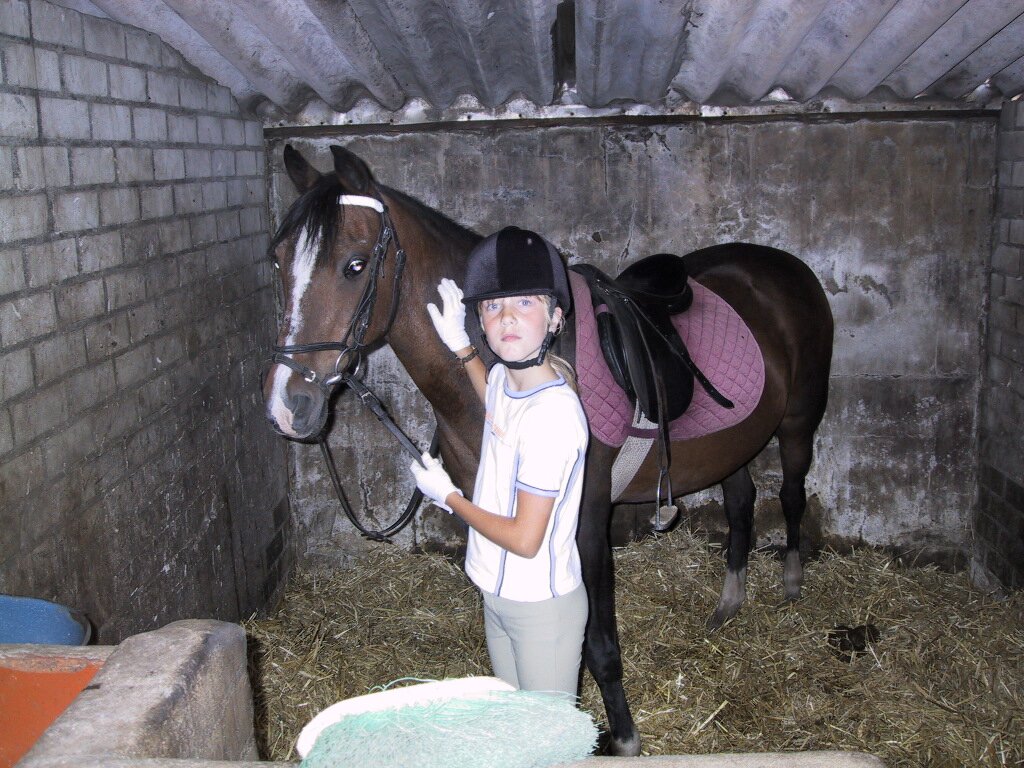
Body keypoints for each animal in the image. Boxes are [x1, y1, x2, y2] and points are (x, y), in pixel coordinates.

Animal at [262, 144, 834, 756]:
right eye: (278, 262)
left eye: (355, 265)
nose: (288, 406)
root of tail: (785, 267)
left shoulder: (584, 521)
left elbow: (598, 644)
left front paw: (622, 738)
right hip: (736, 442)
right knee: (742, 501)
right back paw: (728, 604)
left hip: (798, 423)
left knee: (792, 496)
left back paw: (791, 584)